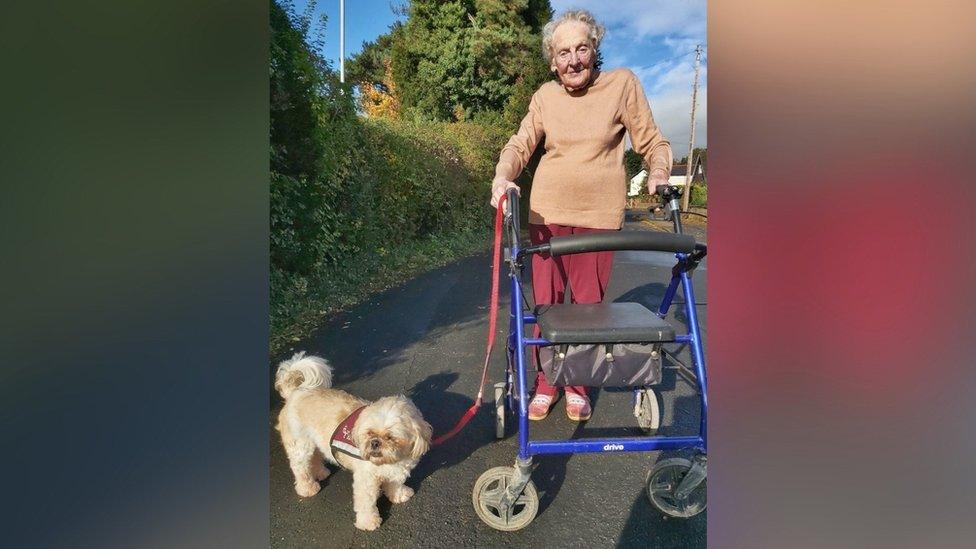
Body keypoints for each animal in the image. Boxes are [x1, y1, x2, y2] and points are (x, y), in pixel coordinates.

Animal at [272, 354, 428, 528]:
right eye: (369, 433)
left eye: (390, 437)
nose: (375, 442)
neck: (390, 461)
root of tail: (295, 392)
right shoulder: (365, 480)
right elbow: (366, 503)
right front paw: (368, 522)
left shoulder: (396, 471)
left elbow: (395, 483)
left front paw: (399, 495)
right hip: (301, 446)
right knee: (300, 468)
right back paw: (307, 488)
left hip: (316, 442)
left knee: (316, 457)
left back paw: (321, 473)